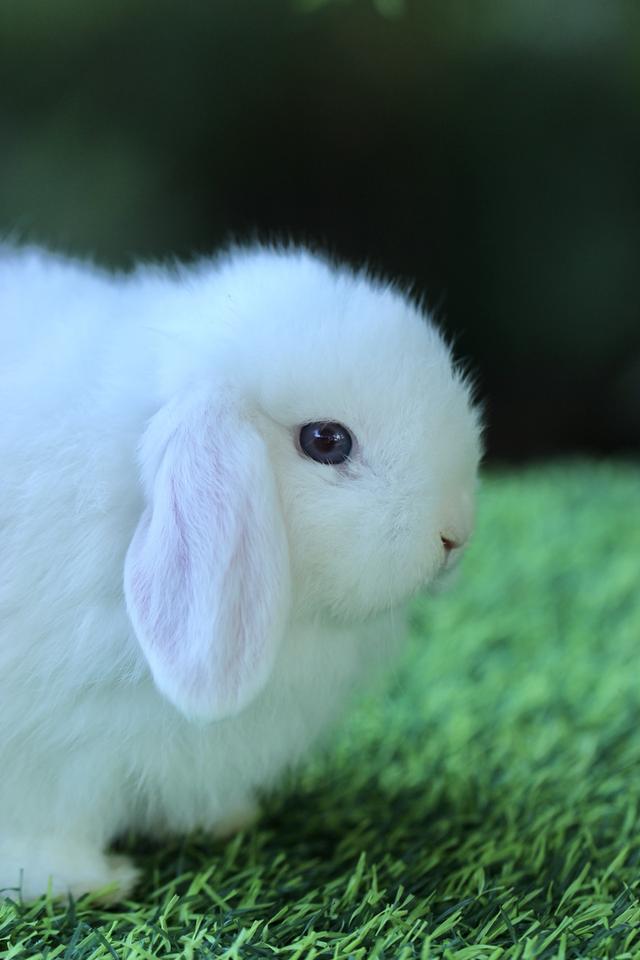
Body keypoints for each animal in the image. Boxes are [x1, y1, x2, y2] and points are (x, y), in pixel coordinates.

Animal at [0, 244, 480, 904]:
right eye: (325, 441)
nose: (454, 536)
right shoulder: (51, 762)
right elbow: (45, 827)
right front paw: (79, 882)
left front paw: (226, 819)